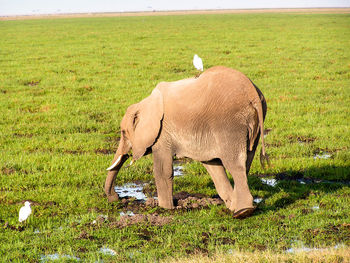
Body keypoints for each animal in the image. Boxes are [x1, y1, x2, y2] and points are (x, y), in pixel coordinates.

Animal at [104, 66, 268, 219]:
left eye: (123, 132)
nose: (117, 198)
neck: (145, 103)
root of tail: (252, 92)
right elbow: (212, 165)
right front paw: (230, 204)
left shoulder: (162, 133)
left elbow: (162, 171)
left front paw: (166, 209)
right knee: (246, 162)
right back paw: (238, 208)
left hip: (230, 123)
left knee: (235, 165)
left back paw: (242, 213)